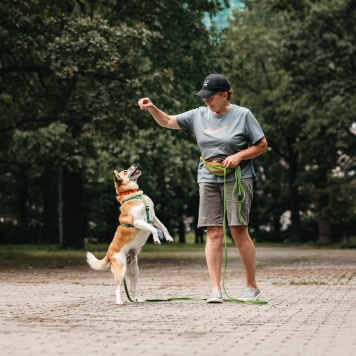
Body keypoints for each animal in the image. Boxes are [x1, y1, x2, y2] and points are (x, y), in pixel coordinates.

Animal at [87, 163, 174, 304]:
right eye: (125, 171)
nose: (134, 164)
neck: (134, 194)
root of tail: (108, 254)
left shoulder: (153, 217)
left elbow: (163, 227)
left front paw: (168, 237)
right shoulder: (138, 221)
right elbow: (154, 229)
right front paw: (156, 239)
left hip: (135, 271)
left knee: (133, 289)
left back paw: (137, 299)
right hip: (121, 269)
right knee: (117, 287)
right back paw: (119, 301)